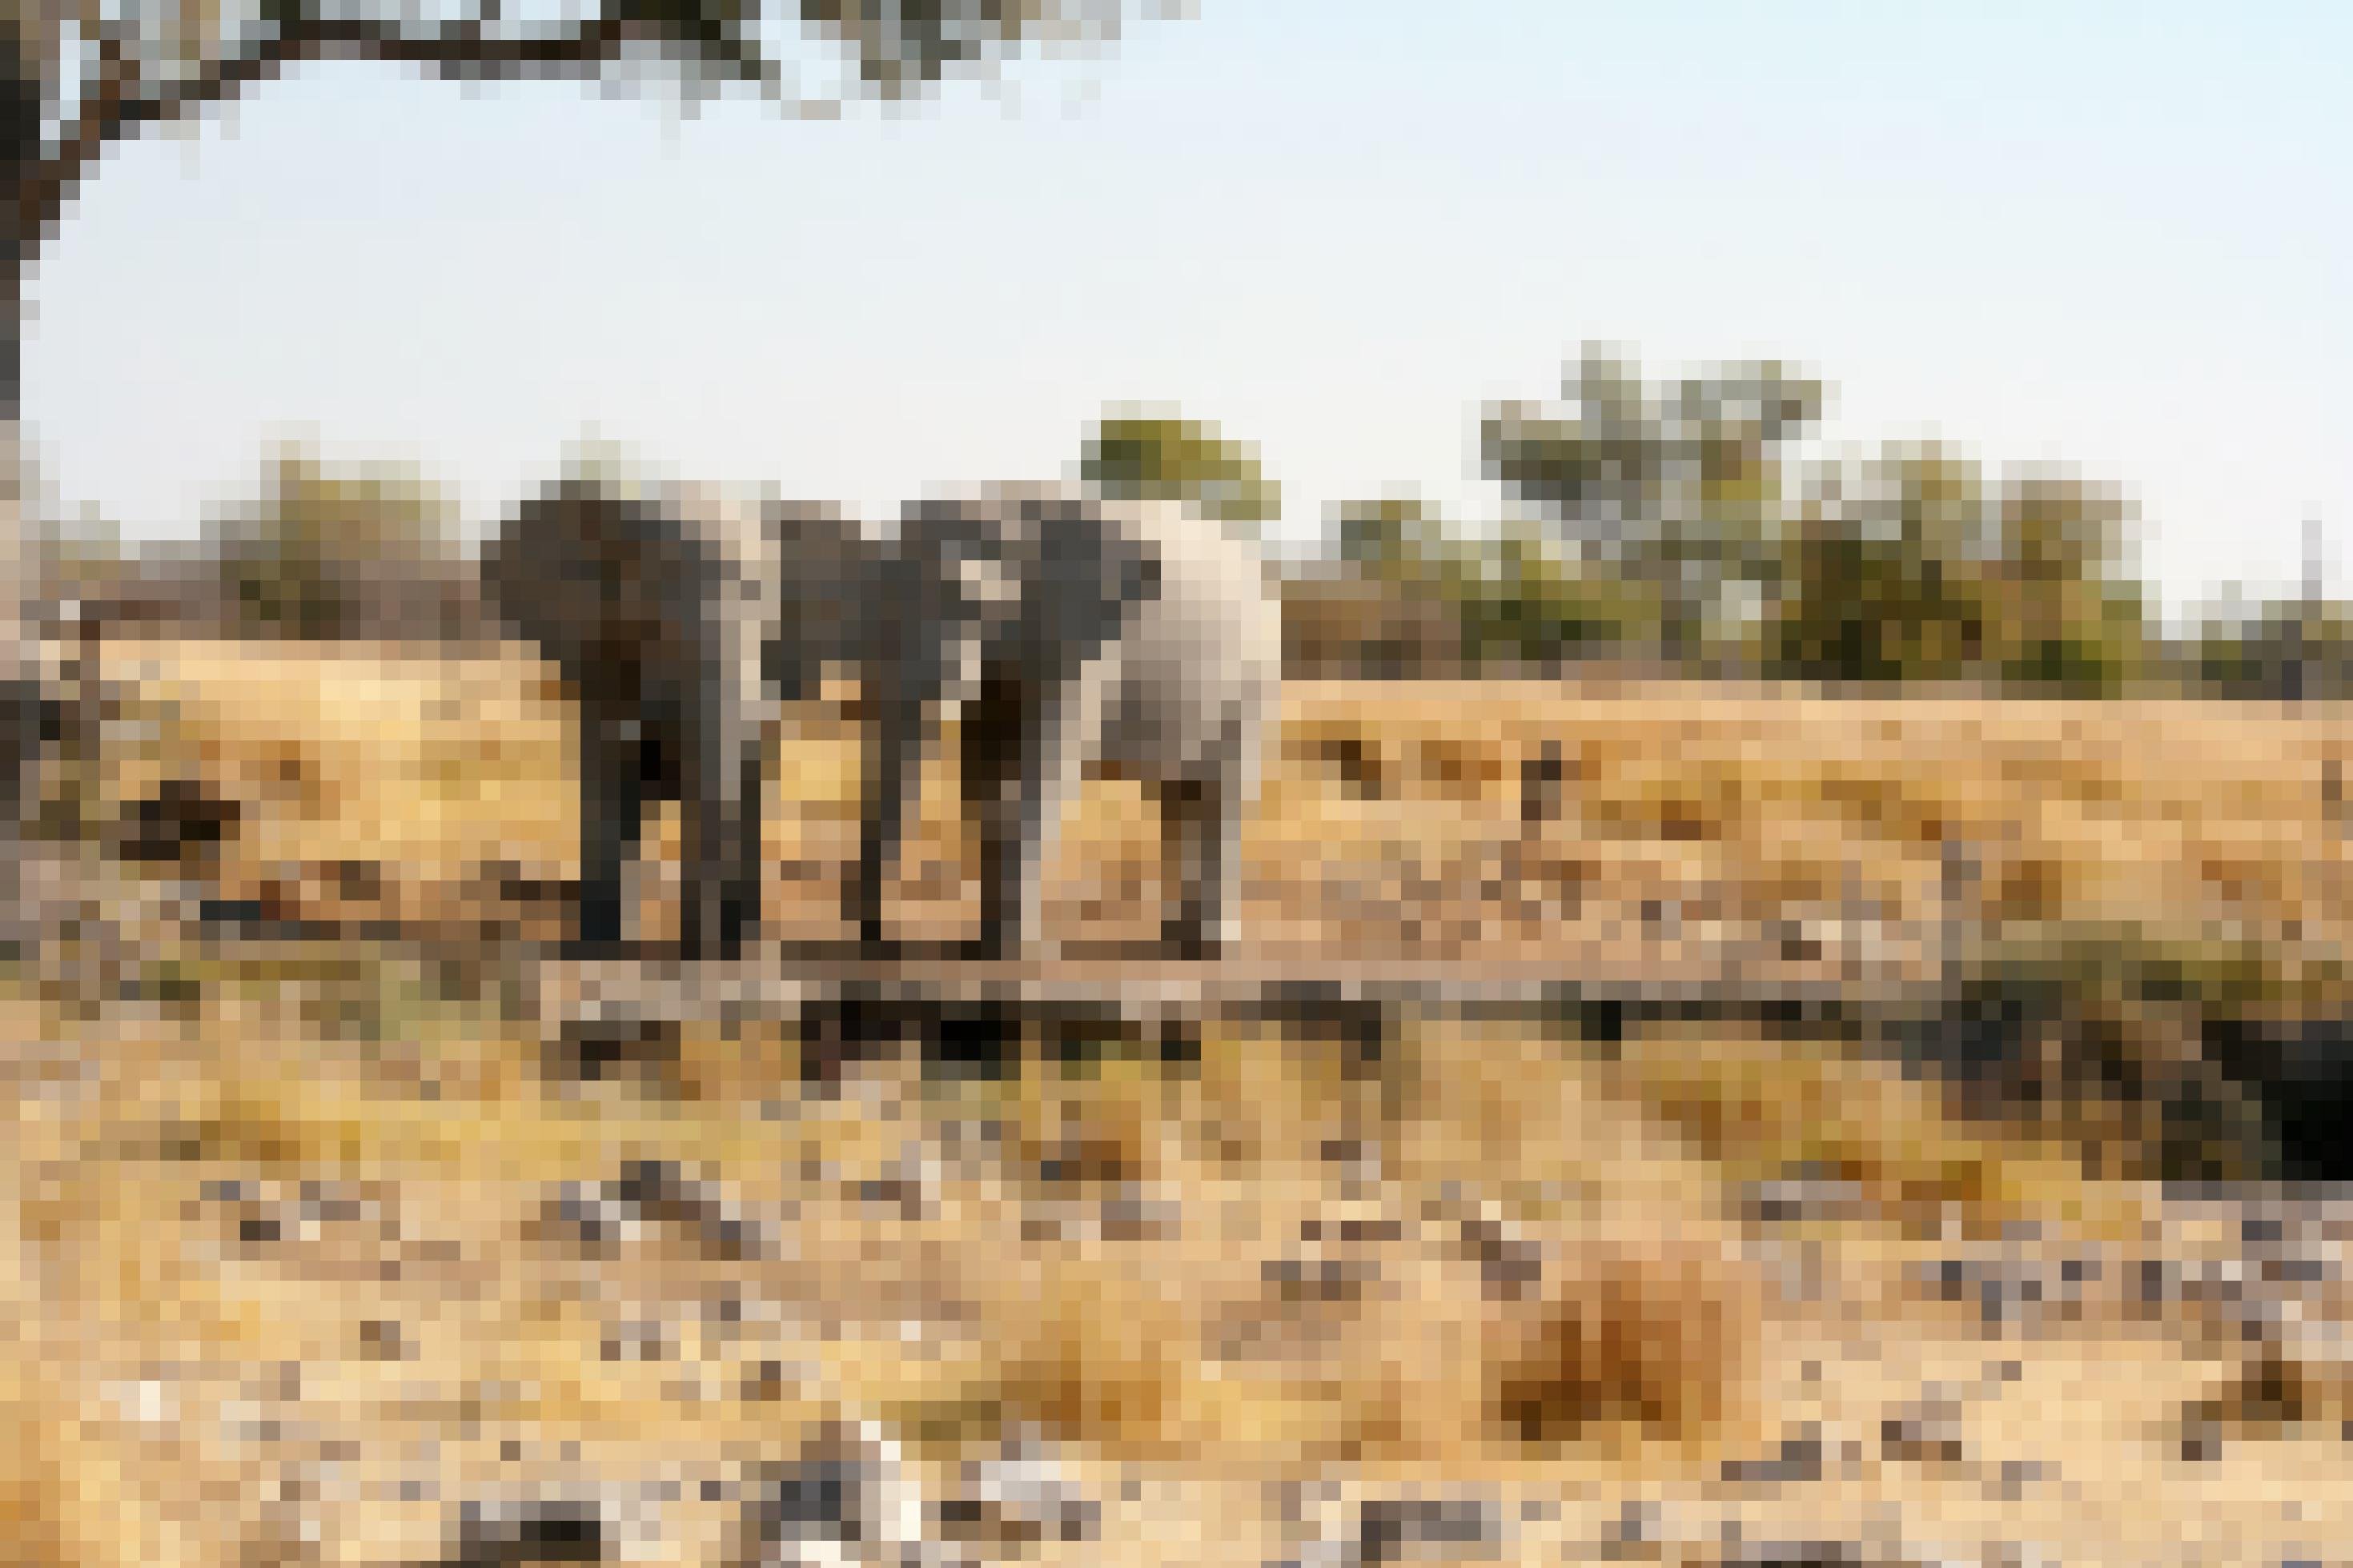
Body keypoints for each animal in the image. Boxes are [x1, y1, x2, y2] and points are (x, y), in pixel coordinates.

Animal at [484, 472, 875, 959]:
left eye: (762, 603)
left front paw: (703, 948)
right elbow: (604, 778)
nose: (702, 948)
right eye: (650, 608)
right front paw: (594, 945)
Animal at [851, 484, 1289, 964]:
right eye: (882, 607)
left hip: (1253, 688)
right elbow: (981, 773)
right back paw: (1176, 937)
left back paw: (1209, 947)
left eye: (973, 604)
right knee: (1179, 801)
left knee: (1222, 799)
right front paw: (981, 947)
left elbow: (1043, 770)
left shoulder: (1085, 649)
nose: (877, 938)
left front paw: (1012, 953)